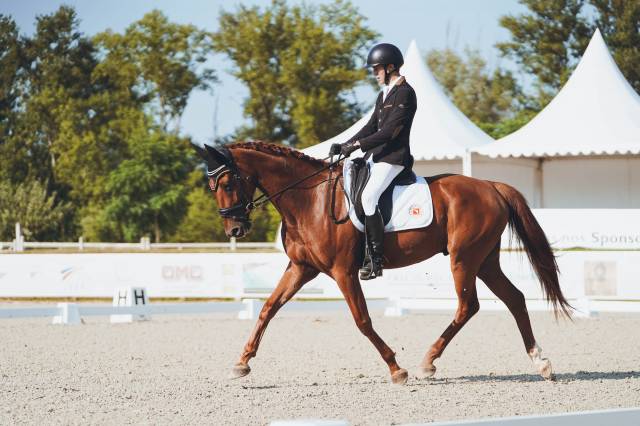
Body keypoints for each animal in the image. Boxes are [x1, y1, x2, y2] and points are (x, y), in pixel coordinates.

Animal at [194, 141, 571, 385]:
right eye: (211, 185)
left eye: (227, 181)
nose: (235, 229)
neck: (308, 199)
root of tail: (491, 186)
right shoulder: (301, 268)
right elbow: (267, 309)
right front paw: (241, 363)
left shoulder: (343, 272)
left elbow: (362, 320)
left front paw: (396, 369)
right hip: (485, 260)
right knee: (514, 299)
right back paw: (541, 362)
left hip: (464, 258)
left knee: (469, 306)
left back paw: (427, 363)